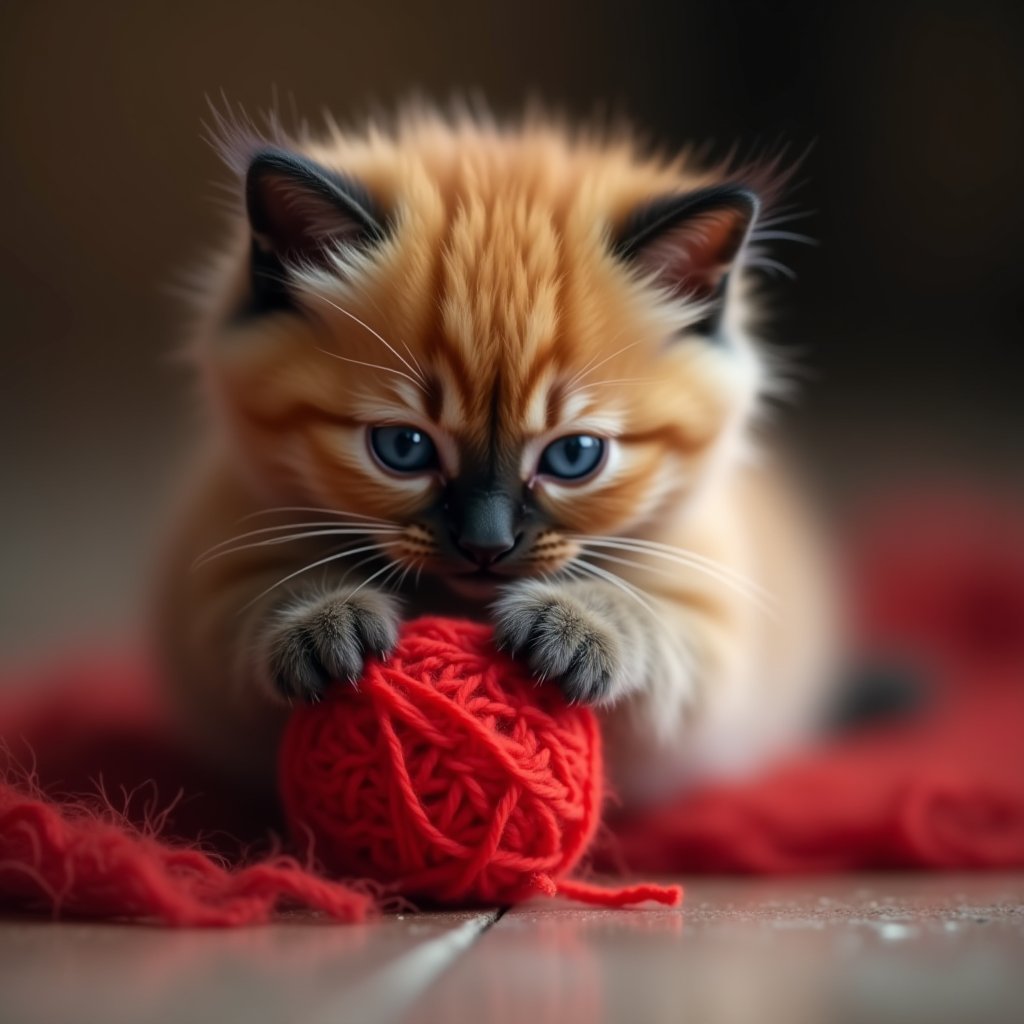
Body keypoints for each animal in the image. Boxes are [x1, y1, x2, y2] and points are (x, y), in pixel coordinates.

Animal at [155, 108, 835, 802]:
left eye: (575, 456)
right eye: (404, 448)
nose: (486, 544)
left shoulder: (713, 626)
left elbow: (657, 627)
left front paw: (575, 628)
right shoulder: (210, 585)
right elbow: (248, 611)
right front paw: (323, 621)